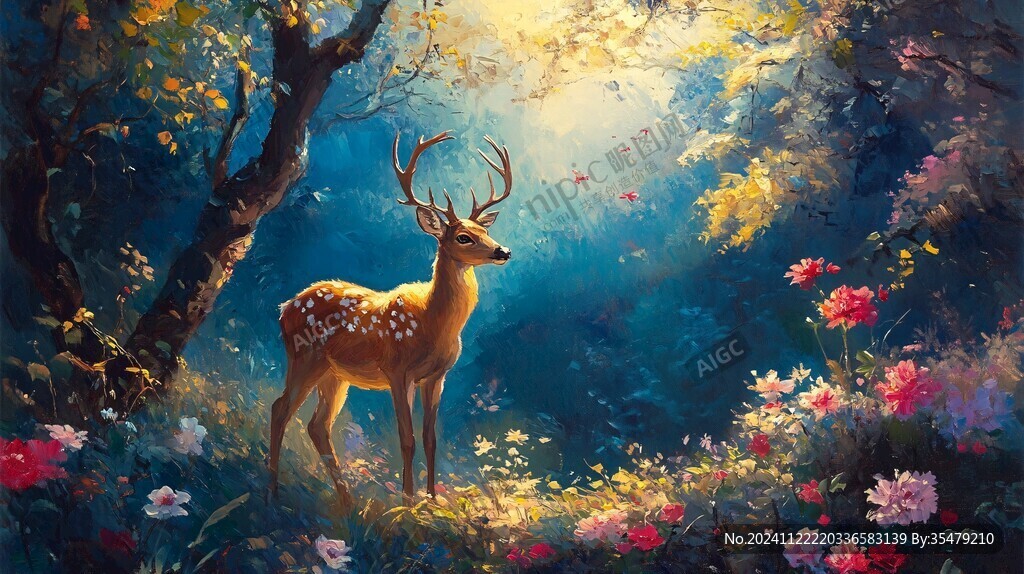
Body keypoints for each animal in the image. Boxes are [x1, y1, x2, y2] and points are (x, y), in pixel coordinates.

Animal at [268, 131, 513, 507]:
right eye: (463, 236)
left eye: (484, 232)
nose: (503, 251)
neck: (432, 322)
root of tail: (284, 307)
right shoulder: (398, 370)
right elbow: (406, 438)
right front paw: (409, 501)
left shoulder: (437, 376)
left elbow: (430, 438)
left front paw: (433, 500)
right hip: (303, 357)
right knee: (280, 409)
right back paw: (273, 492)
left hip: (335, 375)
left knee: (317, 425)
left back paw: (347, 500)